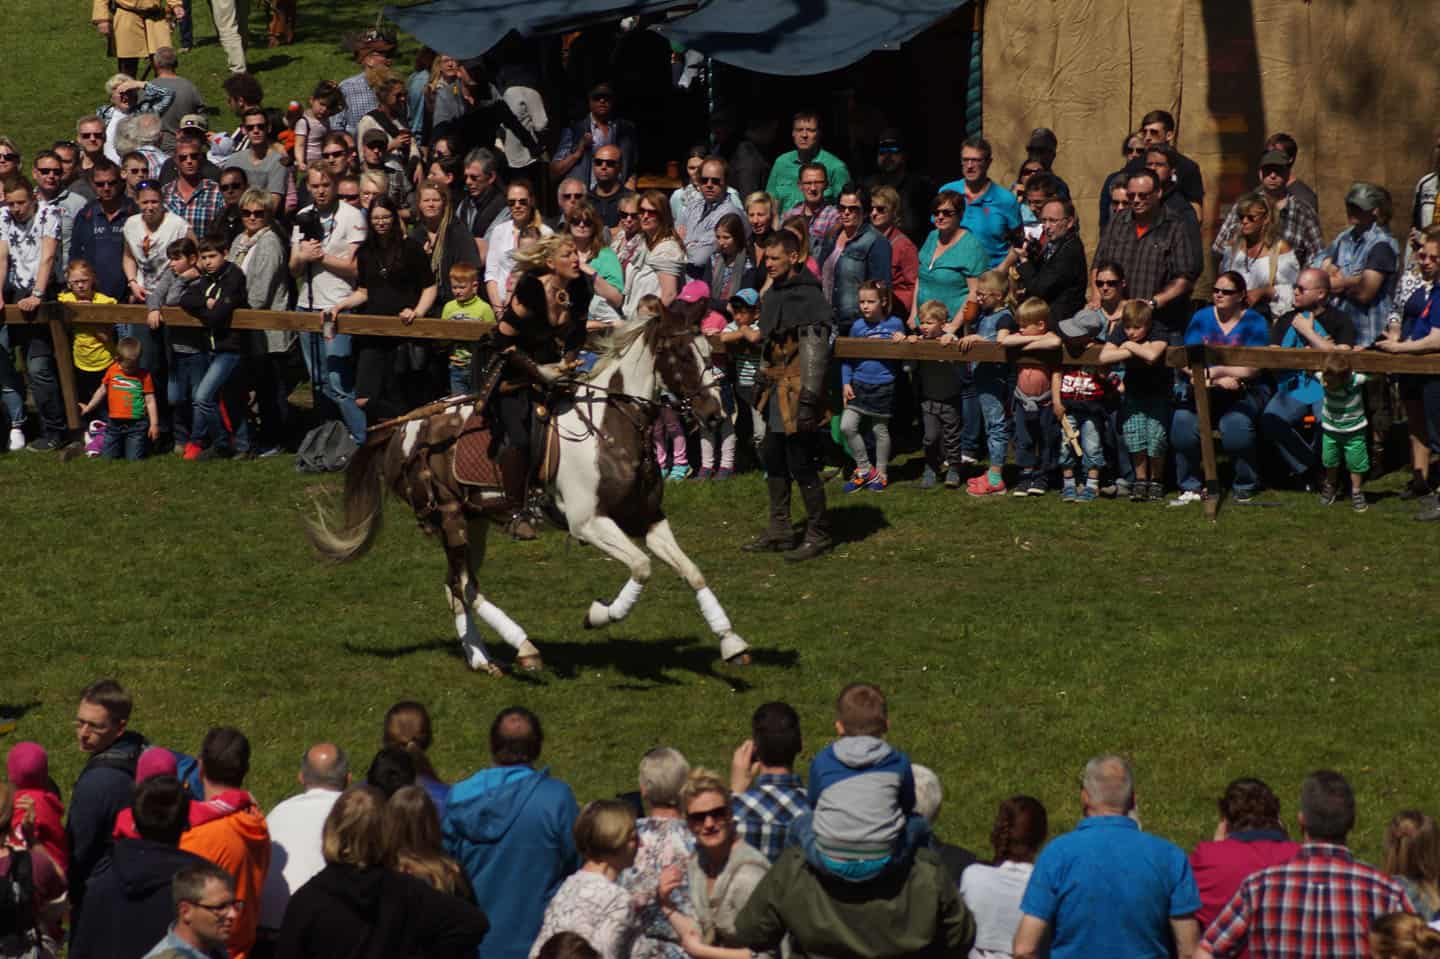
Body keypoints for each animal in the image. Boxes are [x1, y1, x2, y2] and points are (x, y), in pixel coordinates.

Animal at [306, 303, 754, 671]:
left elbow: (692, 572)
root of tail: (401, 428)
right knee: (465, 586)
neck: (610, 427)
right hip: (450, 518)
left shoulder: (648, 519)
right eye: (682, 355)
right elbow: (642, 567)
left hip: (475, 522)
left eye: (709, 351)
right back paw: (520, 648)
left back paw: (481, 657)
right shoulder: (589, 524)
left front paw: (731, 642)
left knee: (456, 586)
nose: (717, 414)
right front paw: (600, 614)